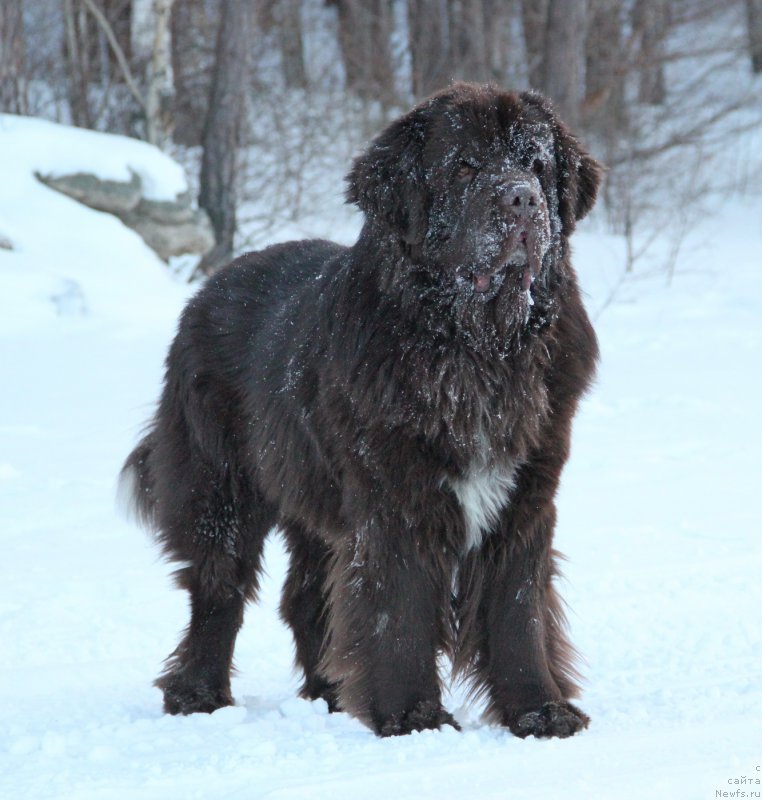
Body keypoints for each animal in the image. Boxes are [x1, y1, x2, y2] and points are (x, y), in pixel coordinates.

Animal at [121, 81, 604, 736]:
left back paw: (330, 691)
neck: (476, 352)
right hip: (218, 485)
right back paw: (198, 693)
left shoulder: (525, 493)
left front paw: (540, 710)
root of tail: (213, 283)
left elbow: (518, 609)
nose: (523, 199)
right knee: (218, 589)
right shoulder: (394, 497)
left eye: (536, 165)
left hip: (311, 495)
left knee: (306, 596)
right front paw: (412, 715)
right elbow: (395, 608)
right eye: (465, 166)